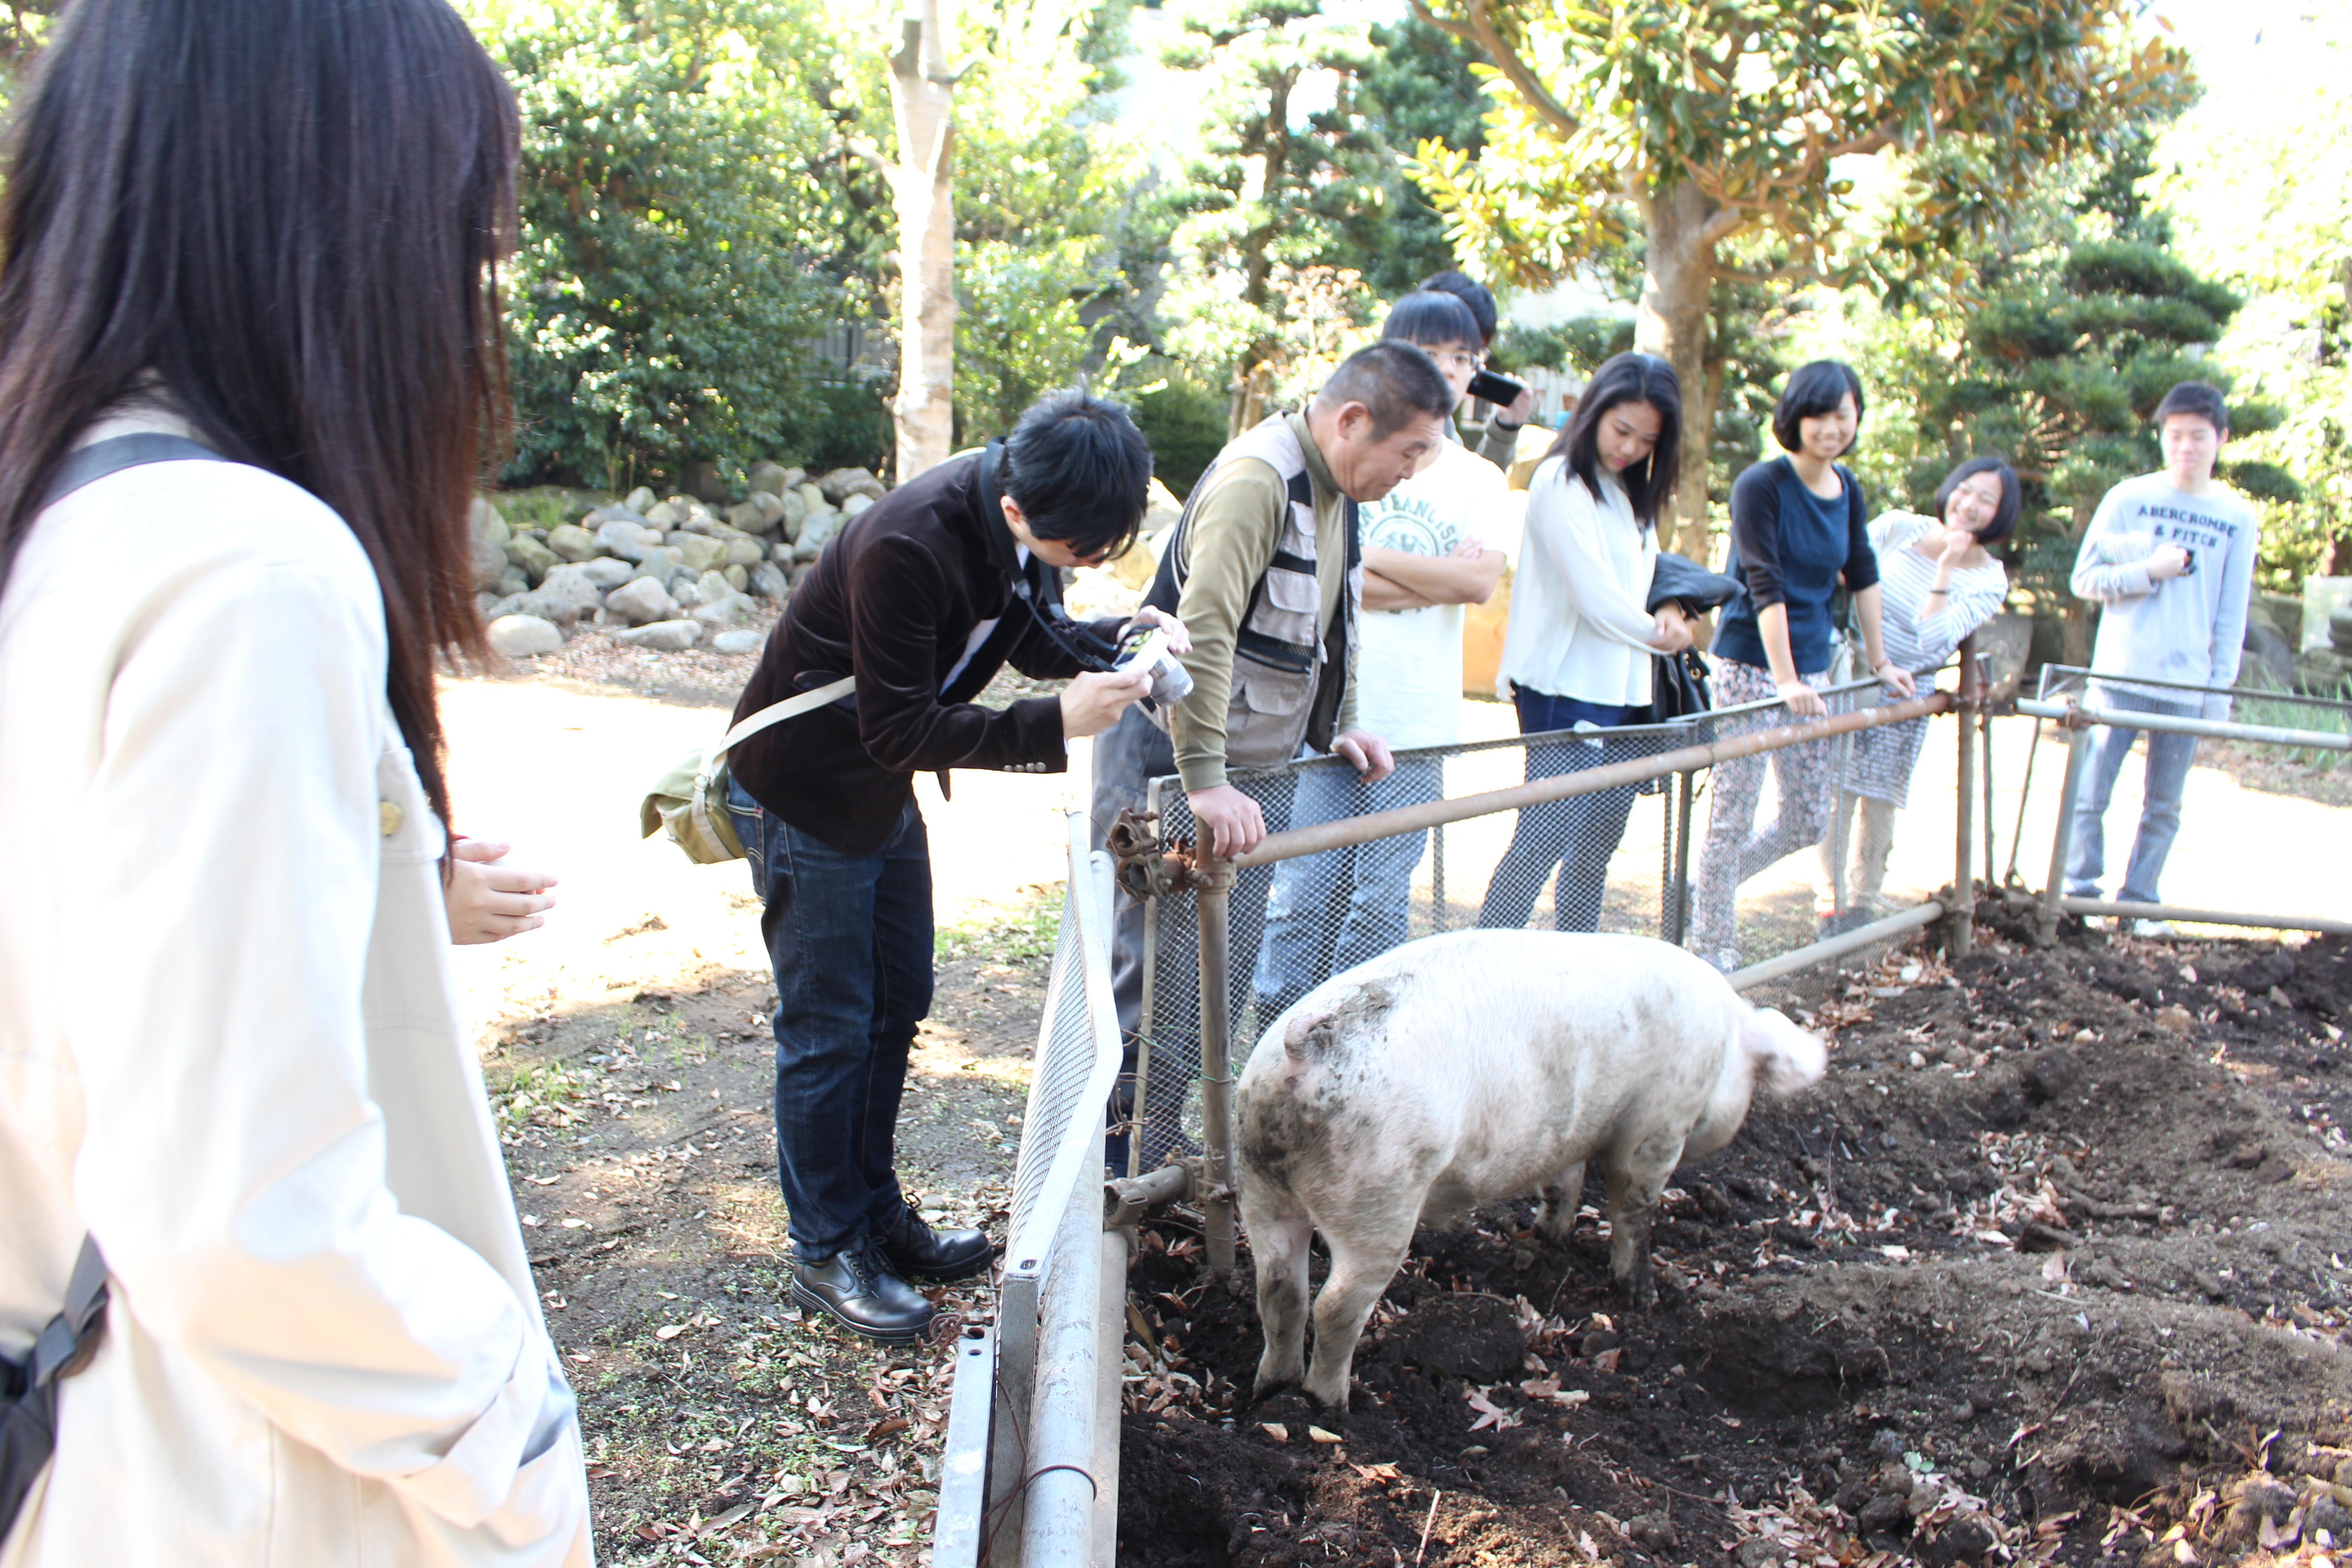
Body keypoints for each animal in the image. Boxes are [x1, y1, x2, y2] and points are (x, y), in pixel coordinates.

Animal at [1242, 931, 1825, 1410]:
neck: (1727, 1041)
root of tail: (1305, 1047)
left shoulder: (1564, 1135)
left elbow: (1562, 1182)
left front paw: (1550, 1235)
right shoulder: (1660, 1123)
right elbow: (1634, 1208)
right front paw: (1642, 1296)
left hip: (1263, 1186)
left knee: (1279, 1291)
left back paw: (1271, 1389)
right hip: (1379, 1191)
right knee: (1335, 1305)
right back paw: (1333, 1407)